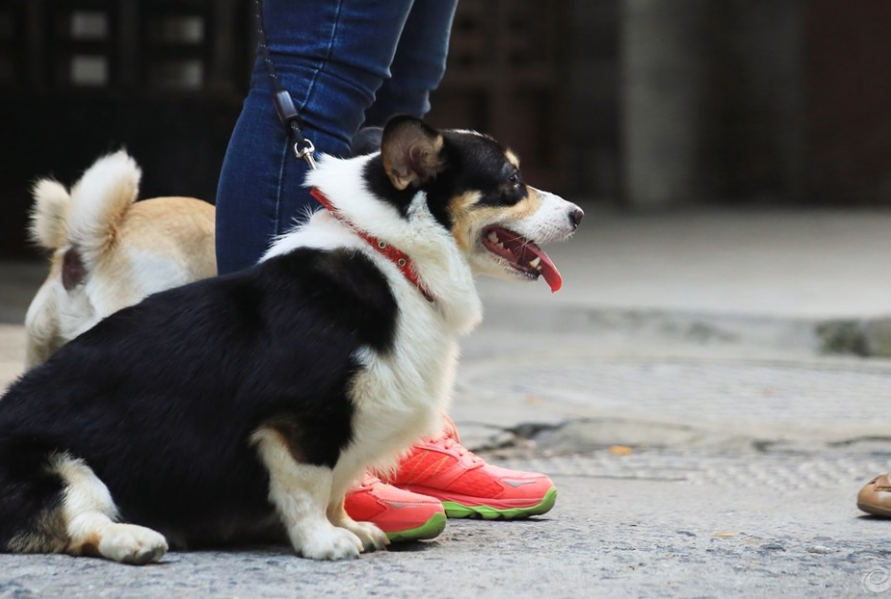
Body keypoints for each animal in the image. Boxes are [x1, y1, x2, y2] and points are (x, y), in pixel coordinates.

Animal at [0, 116, 584, 564]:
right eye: (512, 180)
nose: (578, 214)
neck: (395, 256)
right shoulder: (299, 420)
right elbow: (311, 486)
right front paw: (324, 542)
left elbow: (339, 488)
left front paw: (352, 527)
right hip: (60, 465)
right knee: (79, 522)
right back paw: (135, 540)